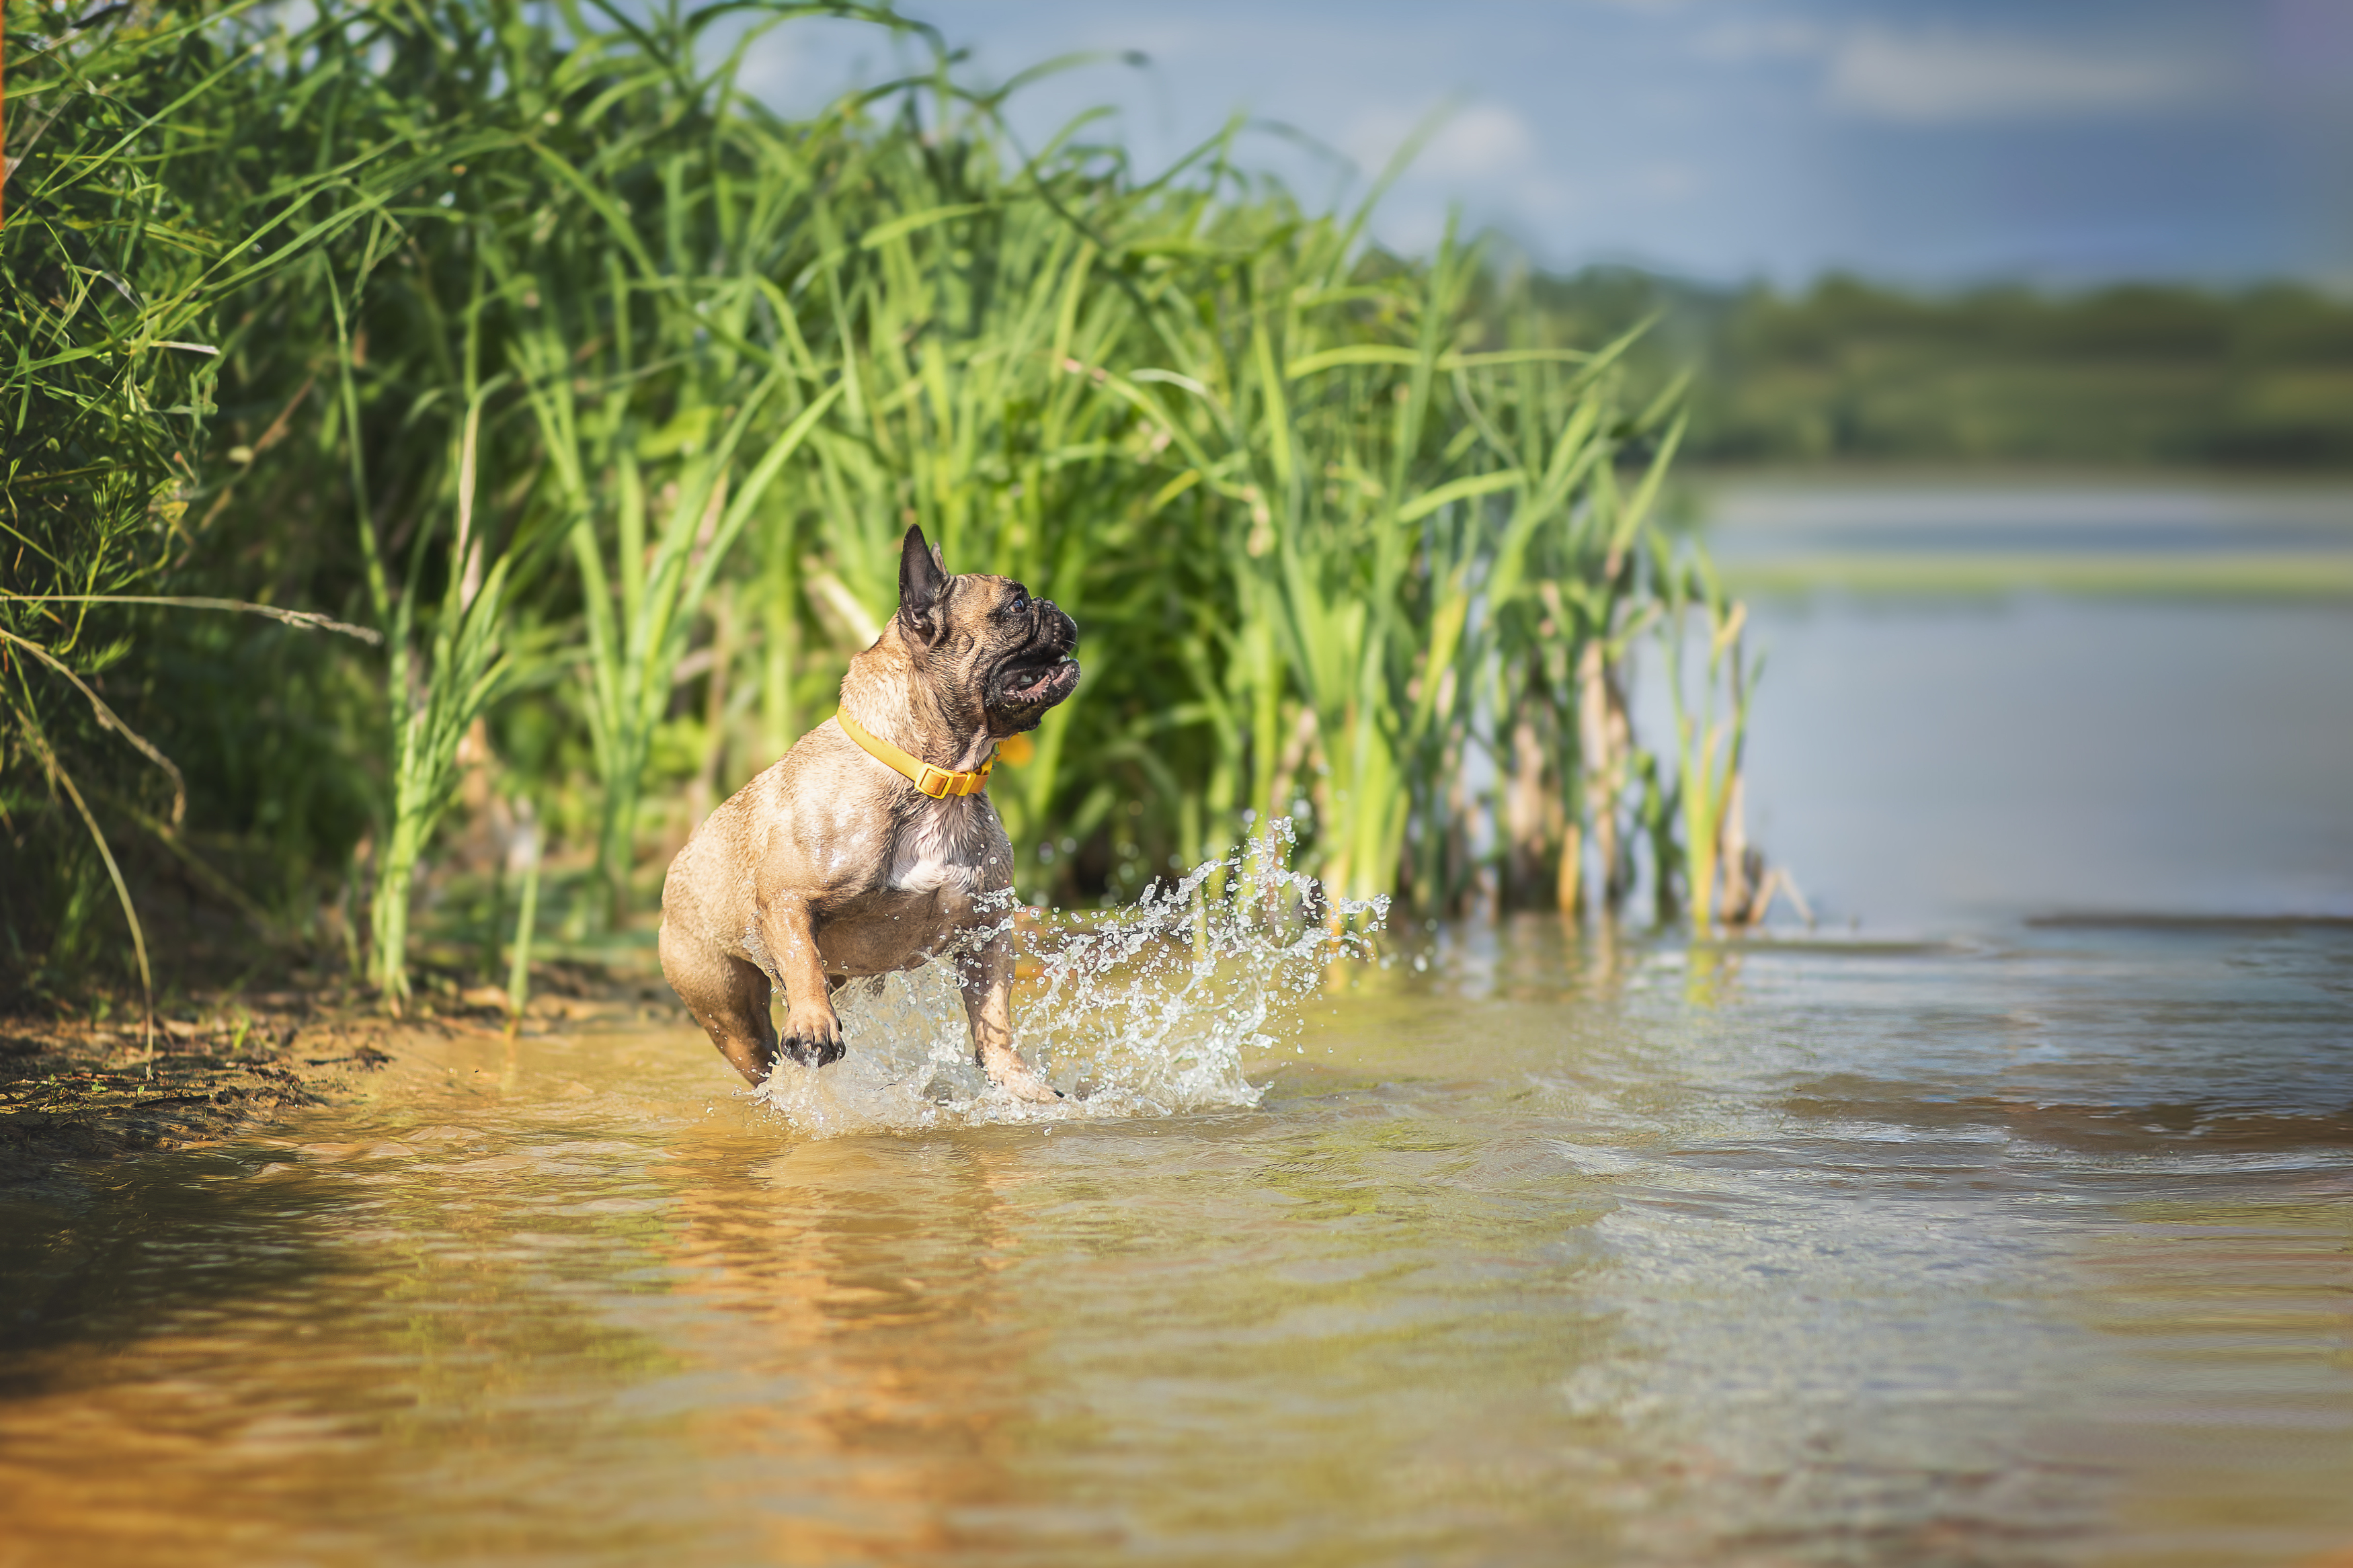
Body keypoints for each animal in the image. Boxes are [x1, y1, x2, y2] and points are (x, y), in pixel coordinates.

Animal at [654, 526, 1078, 1104]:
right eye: (1016, 604)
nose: (1053, 606)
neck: (933, 776)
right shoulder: (788, 899)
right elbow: (803, 960)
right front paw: (813, 1024)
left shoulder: (985, 931)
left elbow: (994, 1015)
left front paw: (1016, 1081)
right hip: (724, 1003)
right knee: (761, 1047)